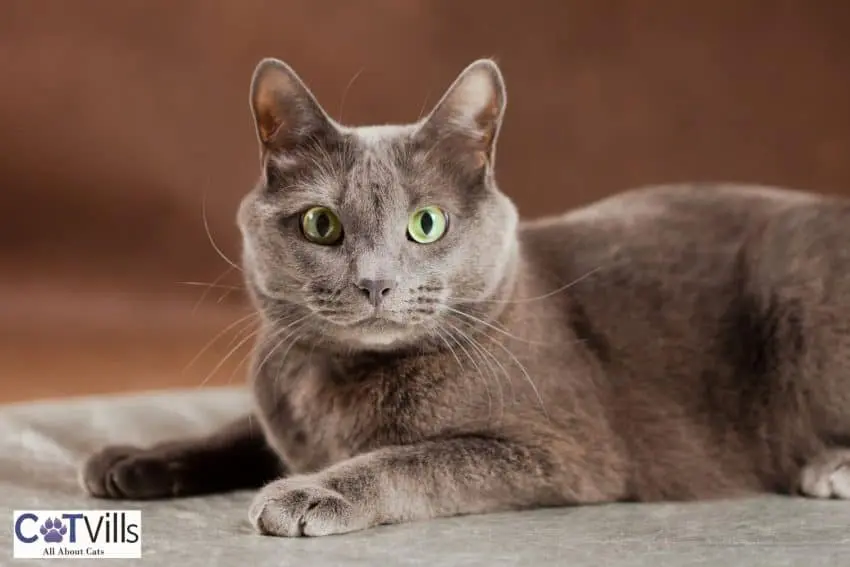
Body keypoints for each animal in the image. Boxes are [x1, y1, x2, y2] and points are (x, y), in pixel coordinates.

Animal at [79, 57, 848, 536]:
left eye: (427, 223)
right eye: (321, 224)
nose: (375, 281)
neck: (337, 383)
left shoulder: (560, 449)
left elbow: (418, 458)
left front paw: (311, 491)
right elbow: (240, 430)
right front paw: (132, 457)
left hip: (801, 293)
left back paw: (829, 467)